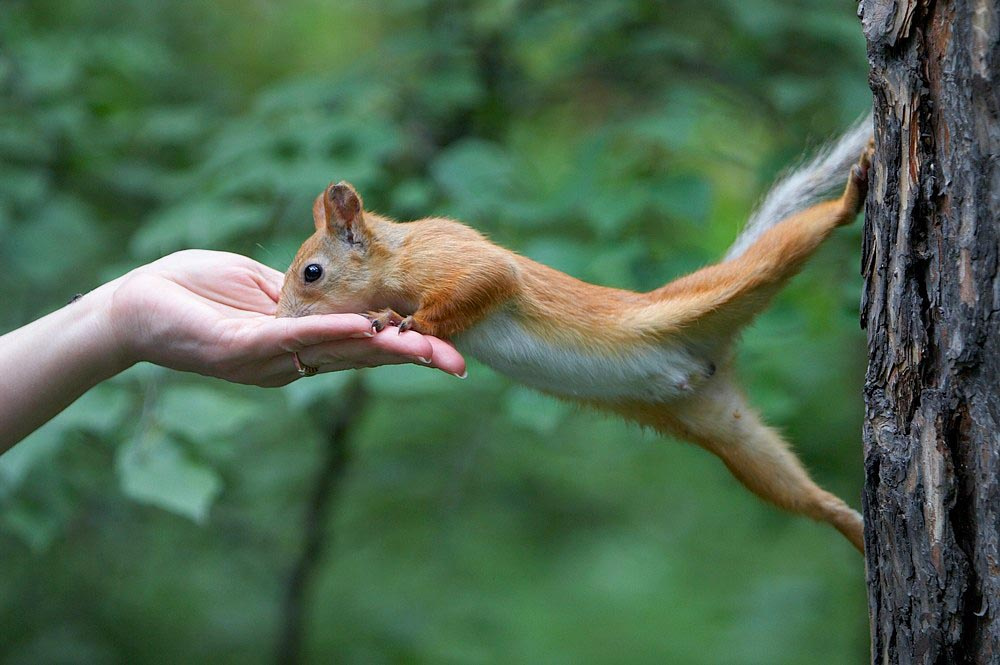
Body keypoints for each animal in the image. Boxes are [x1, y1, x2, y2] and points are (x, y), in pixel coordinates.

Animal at [277, 118, 874, 552]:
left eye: (312, 272)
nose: (282, 318)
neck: (395, 255)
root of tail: (707, 362)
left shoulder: (454, 256)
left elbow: (486, 280)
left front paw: (406, 322)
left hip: (731, 287)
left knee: (790, 245)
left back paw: (852, 196)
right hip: (730, 435)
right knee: (797, 490)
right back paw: (854, 527)